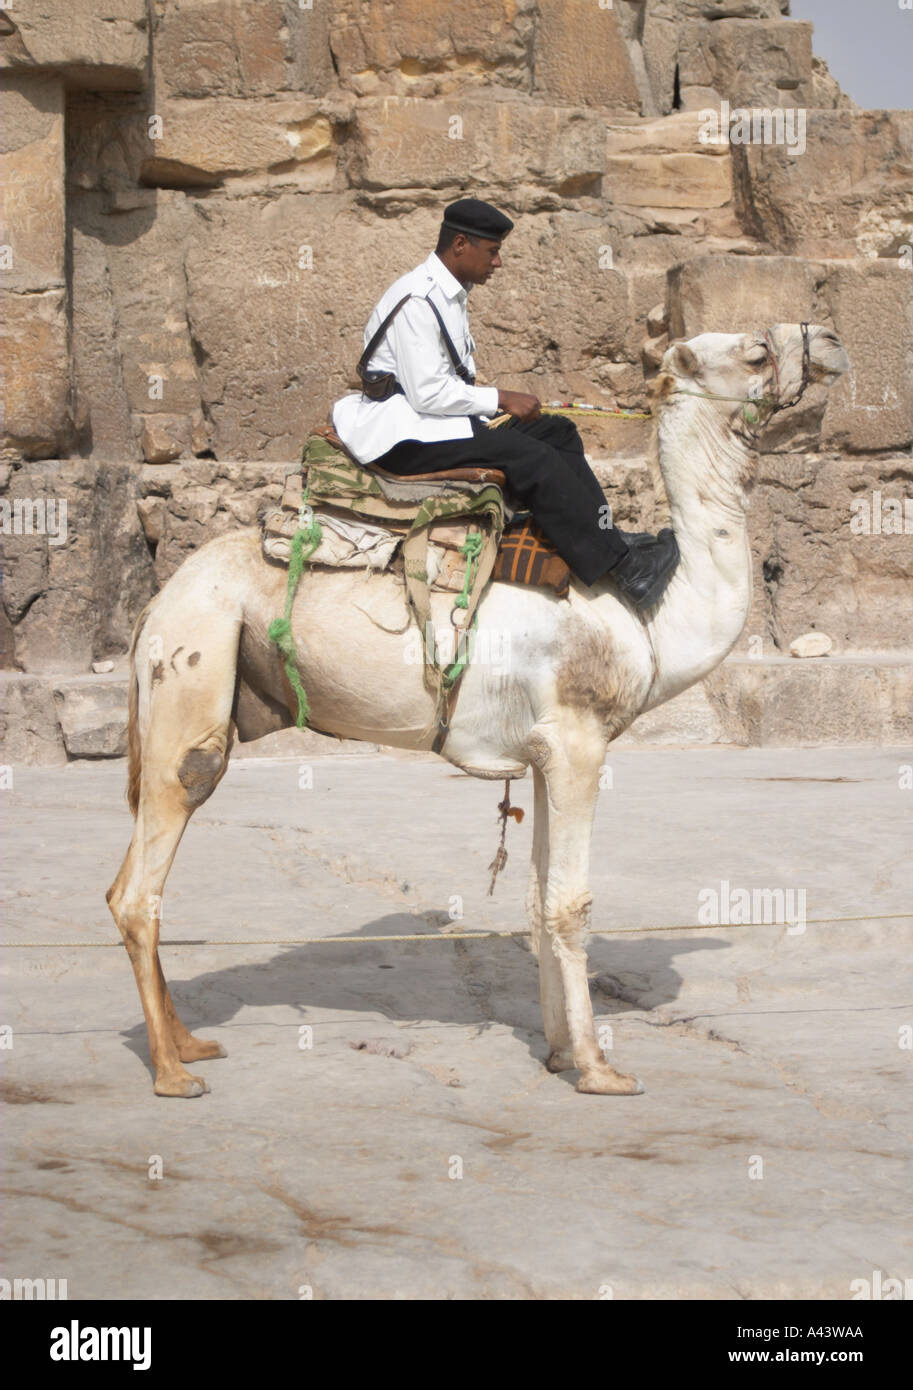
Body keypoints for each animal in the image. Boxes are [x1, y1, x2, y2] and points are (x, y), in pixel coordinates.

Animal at [107, 323, 849, 1098]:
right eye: (754, 352)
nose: (826, 337)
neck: (647, 616)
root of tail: (158, 602)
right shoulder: (579, 739)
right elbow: (570, 904)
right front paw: (598, 1068)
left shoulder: (546, 750)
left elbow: (537, 900)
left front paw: (559, 1052)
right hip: (192, 662)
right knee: (150, 862)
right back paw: (171, 1072)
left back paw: (189, 1044)